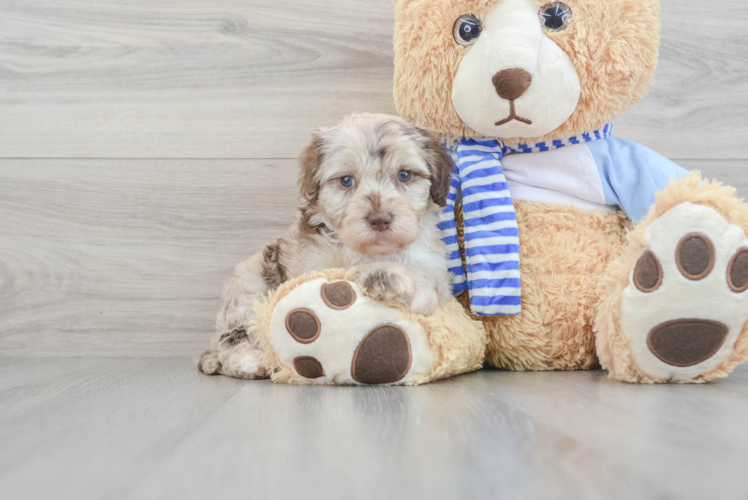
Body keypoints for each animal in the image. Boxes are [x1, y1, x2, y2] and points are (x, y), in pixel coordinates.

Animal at [199, 113, 456, 378]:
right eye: (346, 180)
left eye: (404, 175)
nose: (379, 219)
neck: (374, 253)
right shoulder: (311, 265)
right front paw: (386, 277)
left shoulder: (434, 269)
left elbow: (432, 286)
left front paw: (405, 284)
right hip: (249, 292)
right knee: (232, 339)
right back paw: (250, 361)